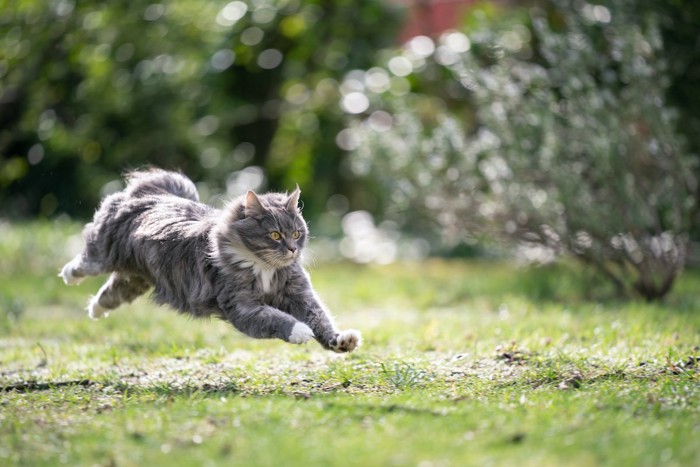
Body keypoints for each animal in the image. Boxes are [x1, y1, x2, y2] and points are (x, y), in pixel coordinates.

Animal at [59, 170, 360, 352]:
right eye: (275, 234)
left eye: (297, 233)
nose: (292, 249)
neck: (264, 269)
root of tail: (154, 195)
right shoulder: (243, 307)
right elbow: (278, 320)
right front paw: (301, 332)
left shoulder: (299, 295)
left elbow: (321, 319)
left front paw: (341, 341)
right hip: (103, 253)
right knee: (84, 262)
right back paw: (68, 276)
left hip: (135, 280)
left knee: (109, 294)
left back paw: (95, 311)